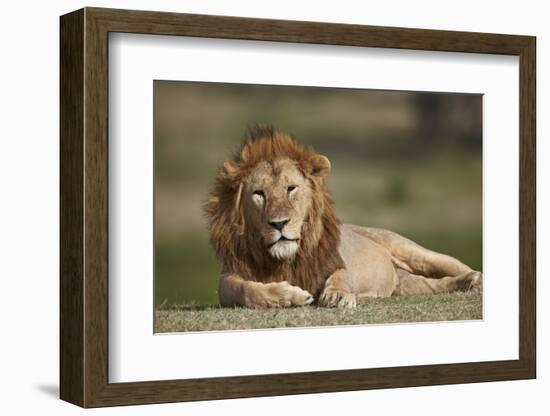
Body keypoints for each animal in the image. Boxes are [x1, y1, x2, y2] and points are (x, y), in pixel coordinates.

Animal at [204, 125, 484, 308]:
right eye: (259, 194)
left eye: (290, 188)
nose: (279, 223)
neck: (285, 260)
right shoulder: (228, 277)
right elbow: (244, 290)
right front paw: (290, 296)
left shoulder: (335, 261)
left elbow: (340, 274)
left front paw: (337, 295)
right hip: (404, 285)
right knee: (432, 285)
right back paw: (467, 283)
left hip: (412, 250)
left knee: (450, 266)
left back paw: (475, 279)